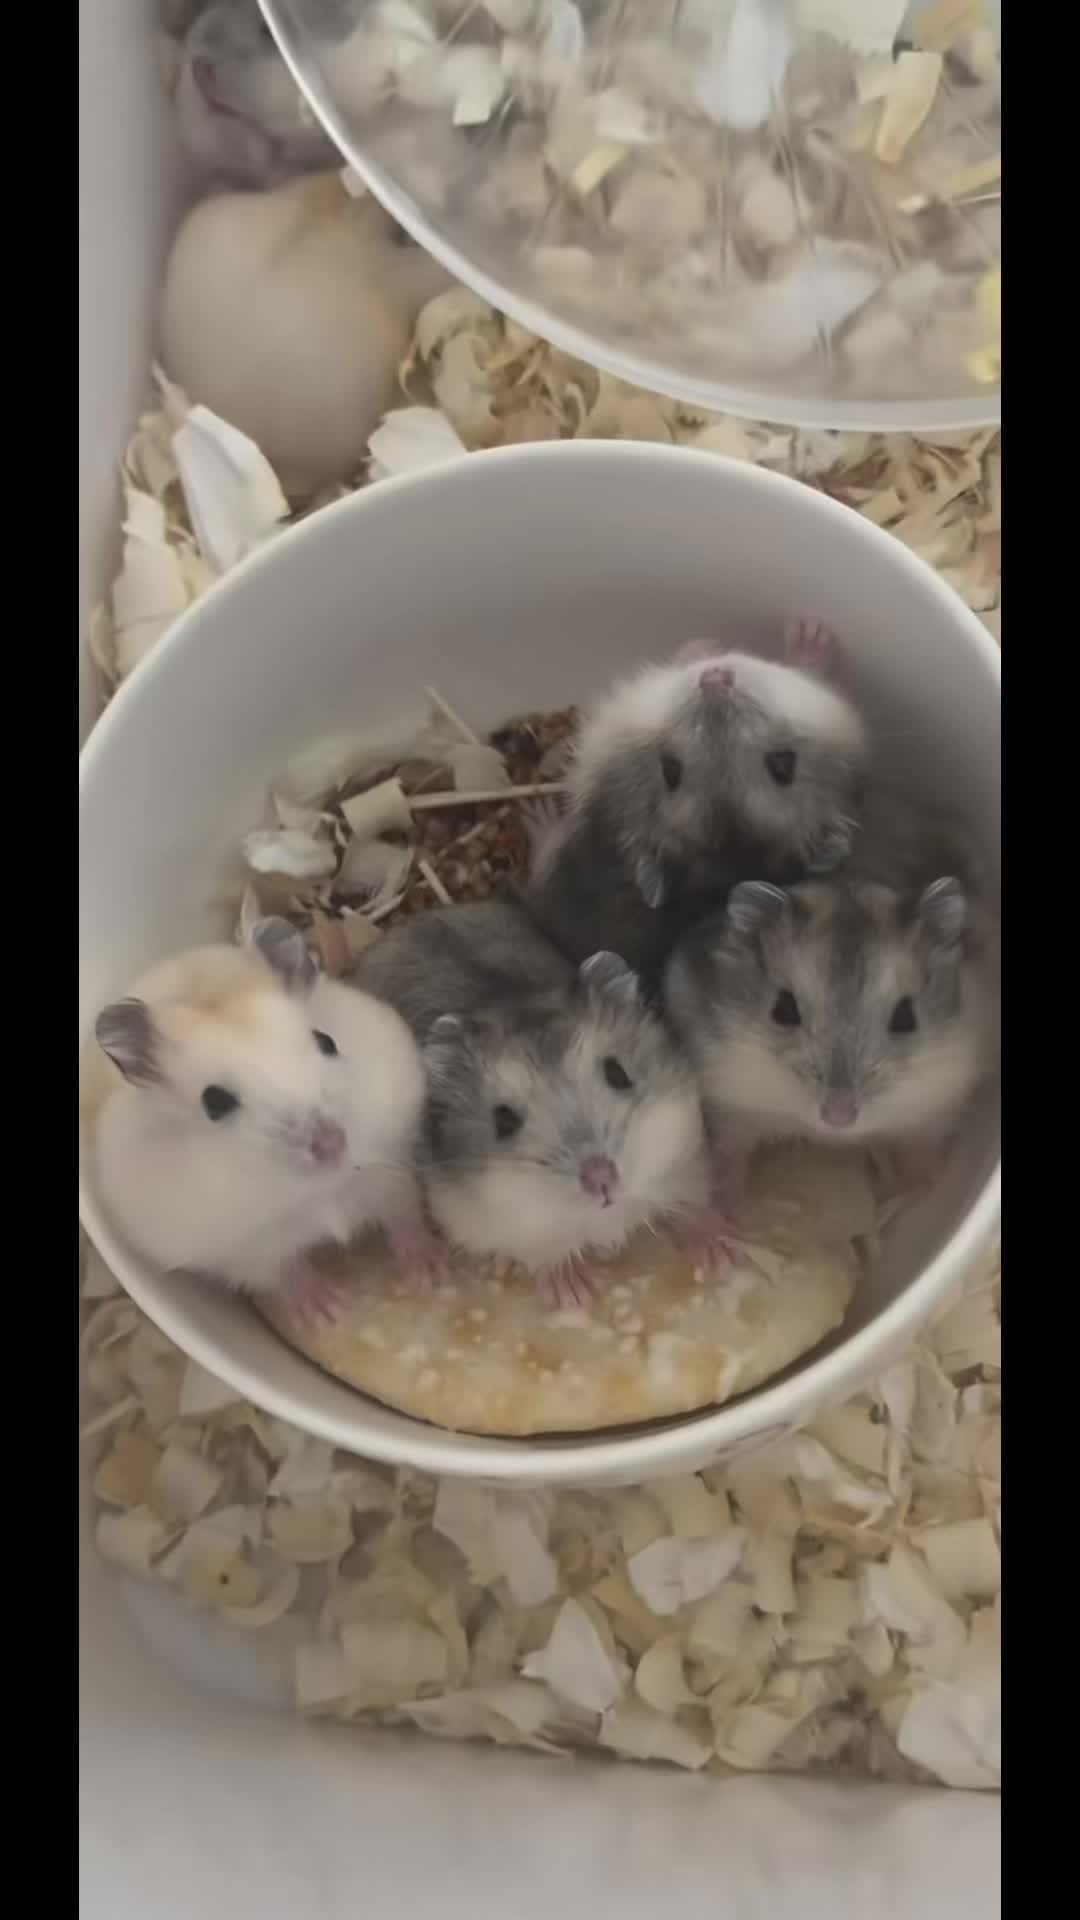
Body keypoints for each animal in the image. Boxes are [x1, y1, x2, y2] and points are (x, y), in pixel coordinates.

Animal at [88, 916, 435, 1322]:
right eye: (214, 1102)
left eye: (326, 1042)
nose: (331, 1144)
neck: (323, 1189)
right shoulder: (244, 1250)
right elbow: (284, 1274)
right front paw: (328, 1312)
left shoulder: (390, 1167)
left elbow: (404, 1215)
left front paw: (429, 1274)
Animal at [351, 901, 712, 1305]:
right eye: (504, 1121)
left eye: (618, 1073)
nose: (602, 1180)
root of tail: (410, 921)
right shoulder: (502, 1223)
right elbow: (546, 1249)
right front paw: (577, 1293)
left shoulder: (686, 1152)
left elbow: (694, 1196)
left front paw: (719, 1254)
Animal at [664, 873, 999, 1195]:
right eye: (783, 1010)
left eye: (906, 1018)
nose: (838, 1119)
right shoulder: (731, 1106)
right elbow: (731, 1152)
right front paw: (726, 1203)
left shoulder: (935, 1110)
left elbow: (921, 1150)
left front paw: (919, 1189)